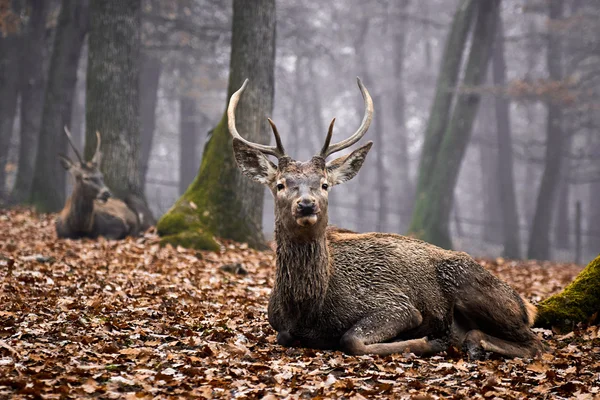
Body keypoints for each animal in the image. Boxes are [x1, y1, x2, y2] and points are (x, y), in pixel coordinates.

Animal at [227, 78, 540, 360]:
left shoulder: (397, 305)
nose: (306, 205)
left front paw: (427, 342)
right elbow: (285, 336)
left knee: (535, 343)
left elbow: (350, 339)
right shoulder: (278, 323)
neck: (307, 310)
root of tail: (527, 305)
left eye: (324, 184)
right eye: (280, 184)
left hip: (474, 287)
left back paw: (470, 343)